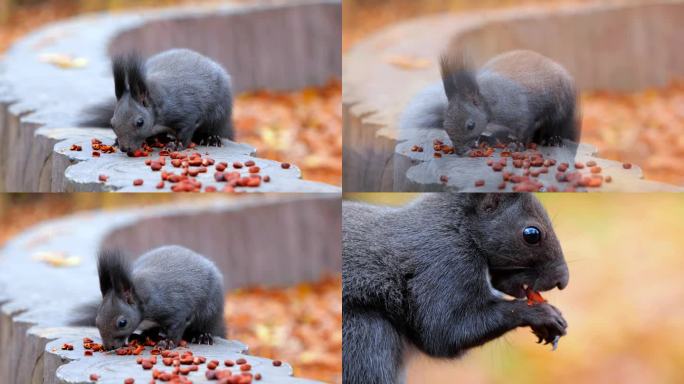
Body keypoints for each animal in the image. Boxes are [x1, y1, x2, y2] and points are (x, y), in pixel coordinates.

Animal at [73, 246, 226, 352]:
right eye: (96, 321)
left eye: (122, 323)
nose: (109, 347)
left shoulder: (176, 311)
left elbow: (176, 329)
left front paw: (168, 343)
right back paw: (142, 336)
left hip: (210, 311)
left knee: (206, 325)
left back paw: (202, 335)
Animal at [79, 48, 235, 154]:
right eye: (111, 124)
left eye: (140, 122)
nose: (125, 148)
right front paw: (117, 141)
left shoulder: (187, 114)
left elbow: (185, 132)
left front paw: (176, 145)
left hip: (218, 115)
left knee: (214, 128)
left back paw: (210, 138)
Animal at [344, 194, 568, 384]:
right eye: (532, 234)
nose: (563, 281)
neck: (459, 227)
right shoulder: (446, 261)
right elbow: (445, 331)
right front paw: (542, 314)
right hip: (364, 336)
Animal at [400, 50, 584, 154]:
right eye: (444, 125)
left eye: (470, 125)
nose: (460, 151)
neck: (489, 101)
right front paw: (485, 139)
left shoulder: (520, 113)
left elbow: (524, 131)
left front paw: (517, 146)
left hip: (562, 108)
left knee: (557, 125)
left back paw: (552, 138)